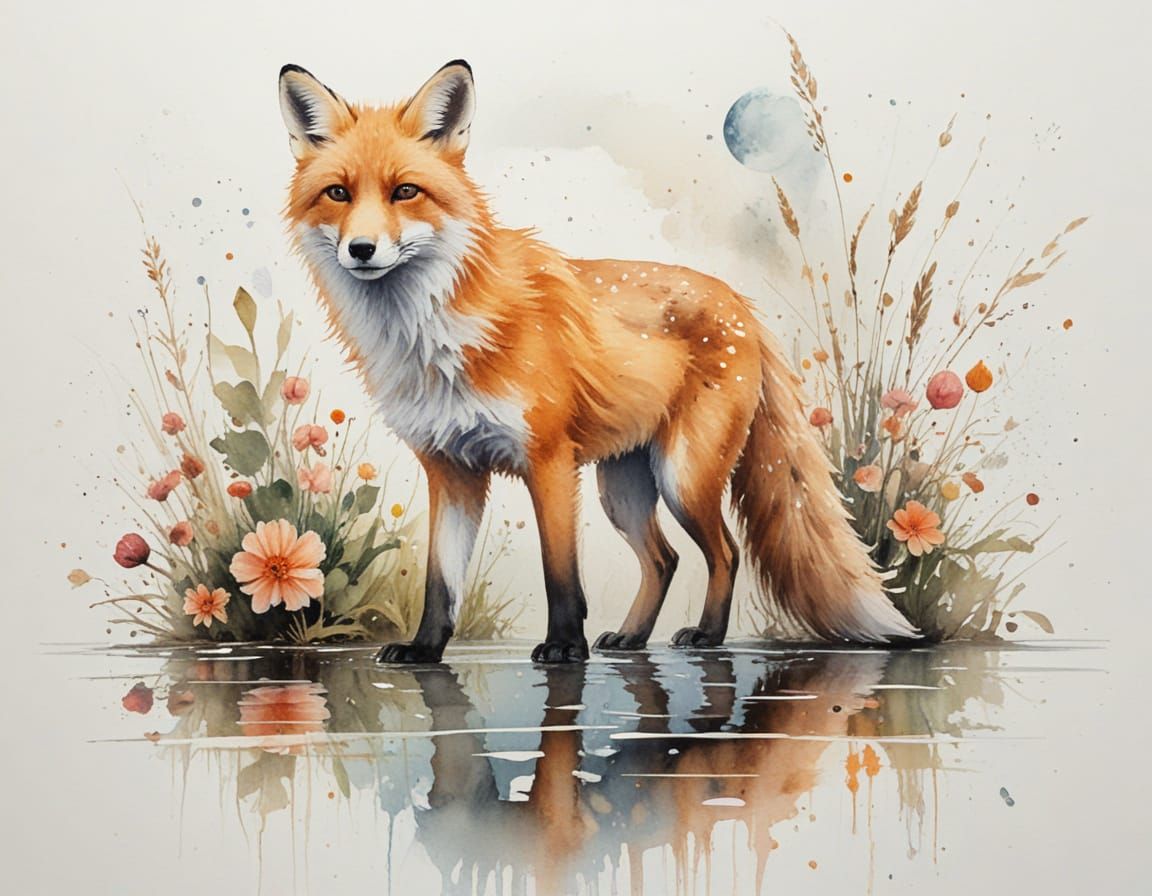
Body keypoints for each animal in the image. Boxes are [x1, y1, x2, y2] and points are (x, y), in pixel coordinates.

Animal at [277, 60, 918, 664]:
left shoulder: (549, 460)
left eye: (405, 192)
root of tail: (740, 302)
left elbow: (560, 572)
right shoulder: (451, 469)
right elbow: (442, 580)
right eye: (338, 194)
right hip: (624, 490)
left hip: (683, 478)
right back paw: (632, 636)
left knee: (725, 552)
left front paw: (564, 646)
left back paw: (707, 635)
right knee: (664, 559)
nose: (362, 249)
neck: (433, 337)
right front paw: (425, 648)